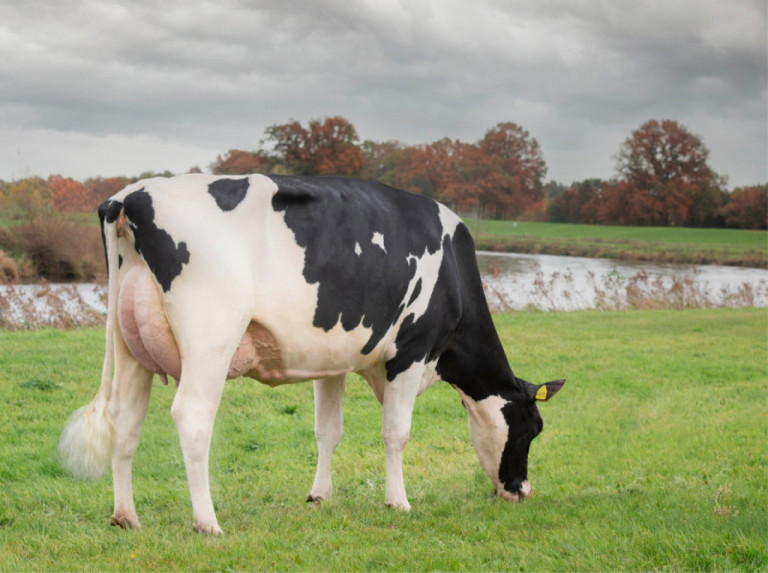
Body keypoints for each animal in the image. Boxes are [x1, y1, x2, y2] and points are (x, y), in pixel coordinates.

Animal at [58, 173, 564, 532]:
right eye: (533, 426)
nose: (522, 490)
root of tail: (129, 197)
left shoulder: (333, 360)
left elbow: (328, 431)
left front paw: (320, 495)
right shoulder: (410, 351)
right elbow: (396, 433)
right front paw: (398, 501)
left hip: (130, 346)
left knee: (126, 420)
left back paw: (126, 516)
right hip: (210, 340)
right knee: (193, 418)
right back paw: (207, 522)